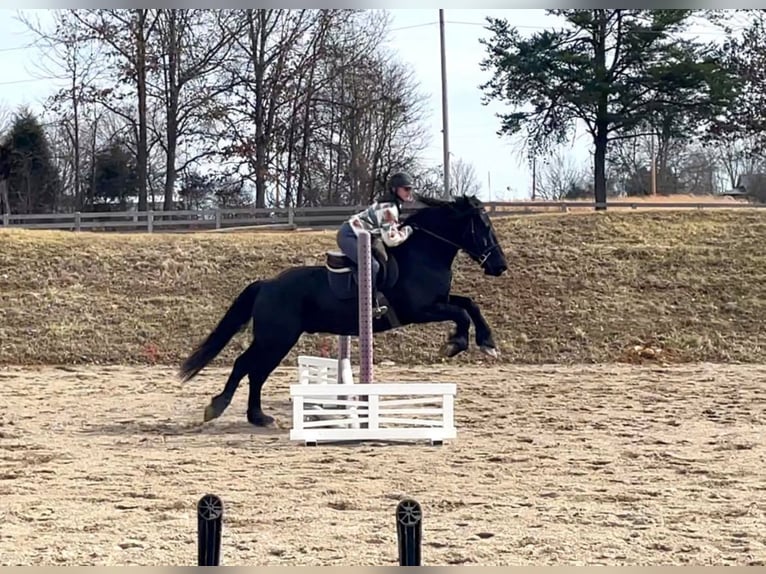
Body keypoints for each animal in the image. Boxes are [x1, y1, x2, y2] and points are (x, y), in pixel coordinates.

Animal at [180, 196, 510, 426]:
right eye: (483, 227)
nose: (500, 267)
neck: (424, 255)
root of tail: (266, 284)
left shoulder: (439, 300)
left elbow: (469, 304)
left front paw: (486, 343)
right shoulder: (420, 310)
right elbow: (461, 313)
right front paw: (455, 344)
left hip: (274, 340)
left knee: (253, 369)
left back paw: (255, 416)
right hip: (277, 339)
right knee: (249, 367)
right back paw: (223, 408)